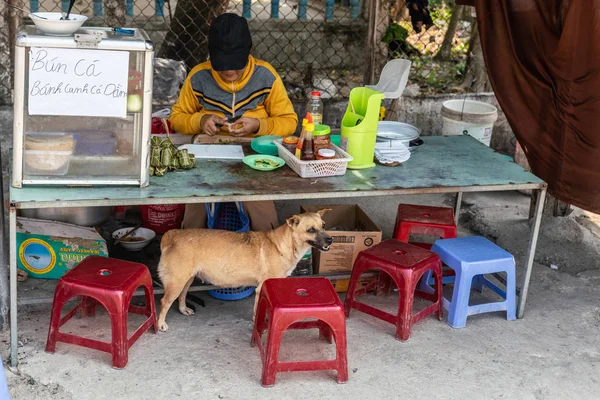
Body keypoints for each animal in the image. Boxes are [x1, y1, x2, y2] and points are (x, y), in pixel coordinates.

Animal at [157, 209, 330, 332]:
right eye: (311, 230)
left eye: (323, 225)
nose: (331, 239)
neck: (283, 245)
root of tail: (172, 234)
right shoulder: (261, 289)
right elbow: (259, 311)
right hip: (177, 281)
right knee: (165, 301)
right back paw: (160, 324)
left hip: (187, 279)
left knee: (181, 295)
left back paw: (183, 309)